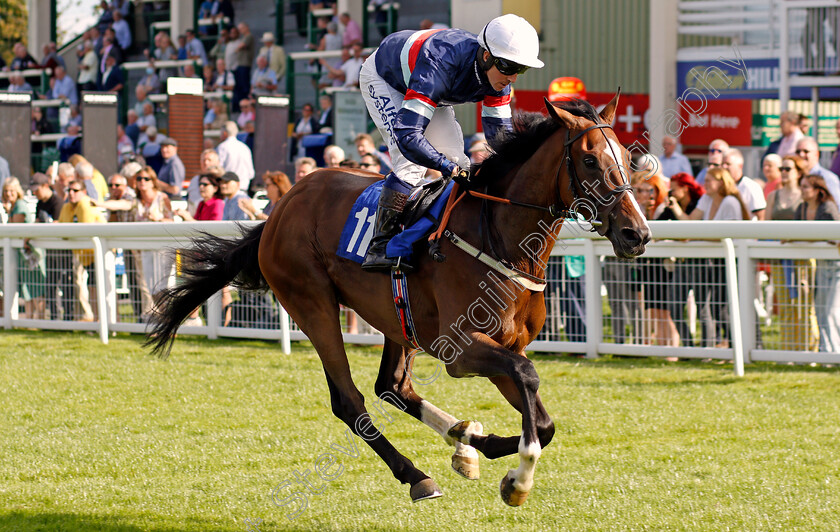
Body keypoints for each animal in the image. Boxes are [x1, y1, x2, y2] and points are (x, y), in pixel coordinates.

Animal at [148, 94, 652, 508]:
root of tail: (280, 208)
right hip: (312, 303)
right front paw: (518, 482)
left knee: (392, 386)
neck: (500, 238)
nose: (637, 233)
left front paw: (489, 454)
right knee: (350, 401)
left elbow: (542, 423)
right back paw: (417, 475)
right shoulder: (461, 350)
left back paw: (465, 440)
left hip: (396, 317)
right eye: (588, 160)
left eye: (629, 159)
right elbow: (529, 382)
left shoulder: (505, 347)